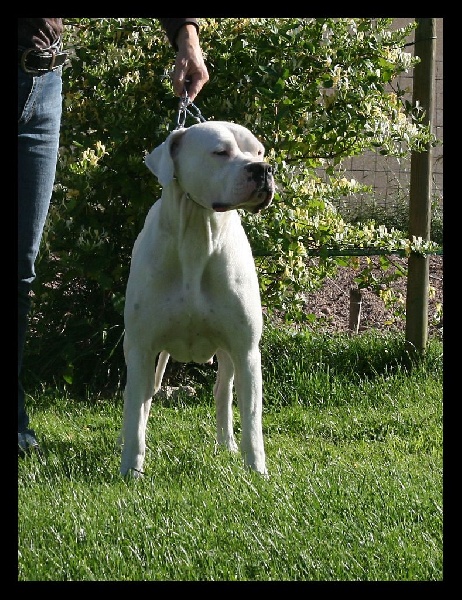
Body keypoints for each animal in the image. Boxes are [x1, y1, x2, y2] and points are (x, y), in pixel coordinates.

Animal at [119, 121, 275, 478]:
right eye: (220, 152)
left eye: (259, 151)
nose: (262, 169)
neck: (197, 236)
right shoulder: (142, 347)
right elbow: (135, 412)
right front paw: (131, 470)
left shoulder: (246, 351)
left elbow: (252, 418)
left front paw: (256, 470)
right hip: (141, 353)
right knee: (142, 397)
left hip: (230, 356)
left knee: (222, 393)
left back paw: (227, 444)